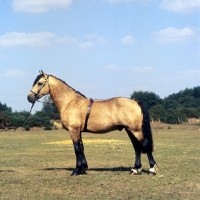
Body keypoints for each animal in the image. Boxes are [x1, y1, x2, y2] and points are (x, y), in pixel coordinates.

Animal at [27, 70, 157, 177]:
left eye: (39, 83)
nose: (29, 97)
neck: (70, 102)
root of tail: (135, 102)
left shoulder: (73, 130)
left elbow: (77, 149)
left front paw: (76, 171)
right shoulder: (78, 131)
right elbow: (81, 148)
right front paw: (83, 169)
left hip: (135, 130)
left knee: (145, 145)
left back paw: (151, 170)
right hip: (130, 130)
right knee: (137, 147)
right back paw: (135, 169)